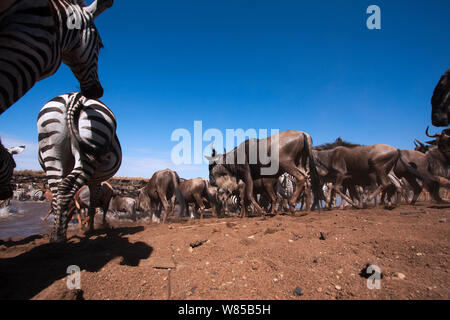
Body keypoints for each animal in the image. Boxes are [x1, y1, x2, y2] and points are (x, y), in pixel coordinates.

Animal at [37, 92, 121, 242]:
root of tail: (75, 96)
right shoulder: (95, 183)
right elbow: (91, 207)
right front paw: (89, 228)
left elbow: (87, 208)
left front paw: (87, 227)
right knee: (64, 190)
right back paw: (59, 234)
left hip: (53, 152)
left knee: (60, 190)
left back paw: (57, 235)